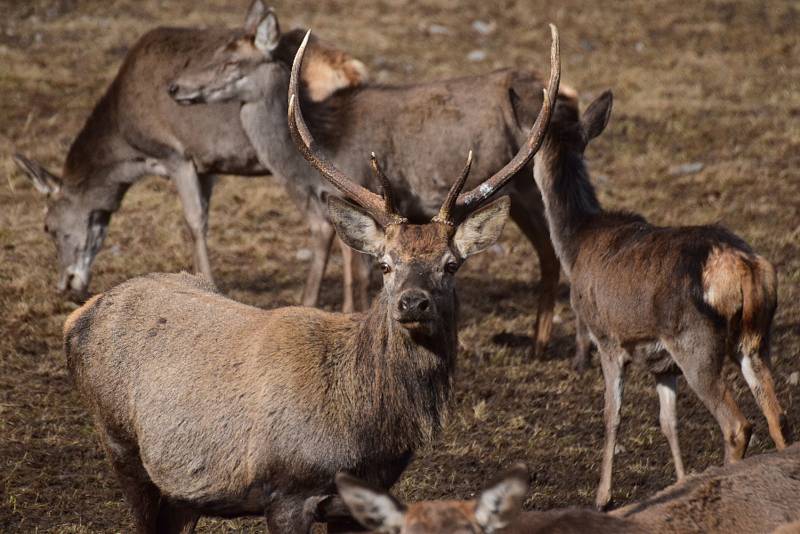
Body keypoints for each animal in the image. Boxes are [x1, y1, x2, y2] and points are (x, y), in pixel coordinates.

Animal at [10, 0, 366, 302]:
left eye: (48, 227)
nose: (65, 286)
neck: (131, 150)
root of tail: (349, 68)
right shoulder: (207, 165)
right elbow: (202, 219)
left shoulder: (175, 154)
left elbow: (193, 222)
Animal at [62, 26, 560, 534]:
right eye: (385, 264)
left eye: (451, 264)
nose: (413, 303)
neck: (366, 430)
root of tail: (80, 314)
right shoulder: (287, 491)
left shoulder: (362, 497)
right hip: (122, 447)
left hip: (180, 495)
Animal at [532, 89, 788, 510]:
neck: (575, 245)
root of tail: (745, 267)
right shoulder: (662, 364)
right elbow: (669, 422)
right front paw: (679, 482)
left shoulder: (607, 336)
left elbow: (612, 414)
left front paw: (602, 498)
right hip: (756, 338)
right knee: (777, 414)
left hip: (696, 343)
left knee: (738, 424)